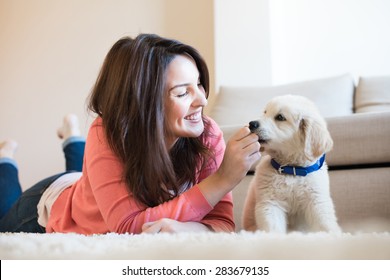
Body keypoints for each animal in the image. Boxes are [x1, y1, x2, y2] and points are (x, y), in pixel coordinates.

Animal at [242, 95, 340, 233]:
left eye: (280, 117)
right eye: (265, 112)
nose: (251, 124)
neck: (292, 169)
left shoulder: (317, 201)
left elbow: (325, 225)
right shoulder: (270, 203)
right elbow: (273, 229)